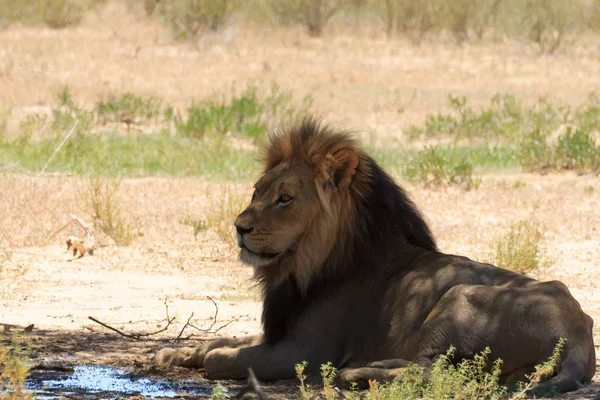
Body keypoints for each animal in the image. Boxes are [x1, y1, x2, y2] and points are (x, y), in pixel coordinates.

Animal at [155, 117, 596, 392]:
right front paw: (176, 353)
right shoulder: (278, 334)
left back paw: (355, 373)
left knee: (432, 373)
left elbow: (224, 358)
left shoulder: (304, 352)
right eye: (256, 191)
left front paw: (202, 357)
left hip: (459, 296)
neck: (299, 264)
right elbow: (218, 343)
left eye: (284, 198)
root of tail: (579, 334)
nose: (239, 227)